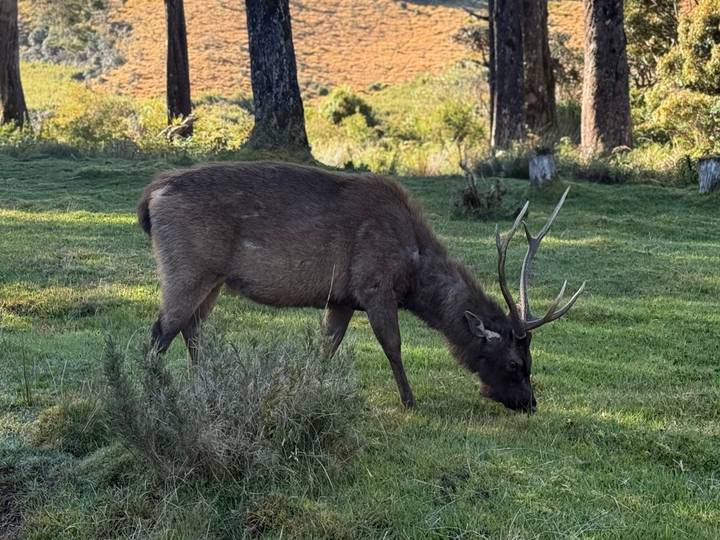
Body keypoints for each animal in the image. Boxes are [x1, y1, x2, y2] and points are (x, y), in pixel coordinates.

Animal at [137, 161, 585, 412]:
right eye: (514, 363)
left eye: (530, 361)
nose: (530, 403)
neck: (412, 273)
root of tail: (150, 196)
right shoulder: (374, 285)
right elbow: (393, 345)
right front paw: (410, 401)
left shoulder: (341, 297)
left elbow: (327, 346)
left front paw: (312, 386)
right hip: (186, 266)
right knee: (160, 331)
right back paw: (152, 393)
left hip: (210, 278)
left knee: (191, 327)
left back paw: (203, 382)